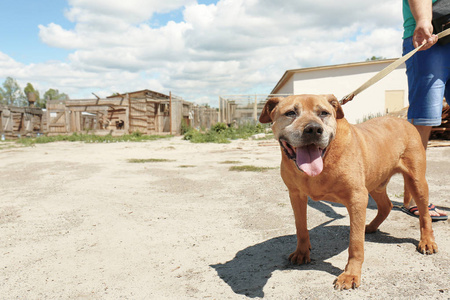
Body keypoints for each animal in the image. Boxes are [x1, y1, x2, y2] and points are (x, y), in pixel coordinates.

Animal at [258, 94, 438, 290]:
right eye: (291, 113)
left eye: (324, 113)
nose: (313, 129)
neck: (325, 157)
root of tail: (403, 121)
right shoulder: (296, 195)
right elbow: (301, 227)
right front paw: (302, 252)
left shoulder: (357, 198)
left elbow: (355, 243)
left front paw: (351, 274)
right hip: (375, 183)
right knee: (387, 205)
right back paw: (371, 227)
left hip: (416, 182)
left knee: (424, 214)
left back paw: (427, 241)